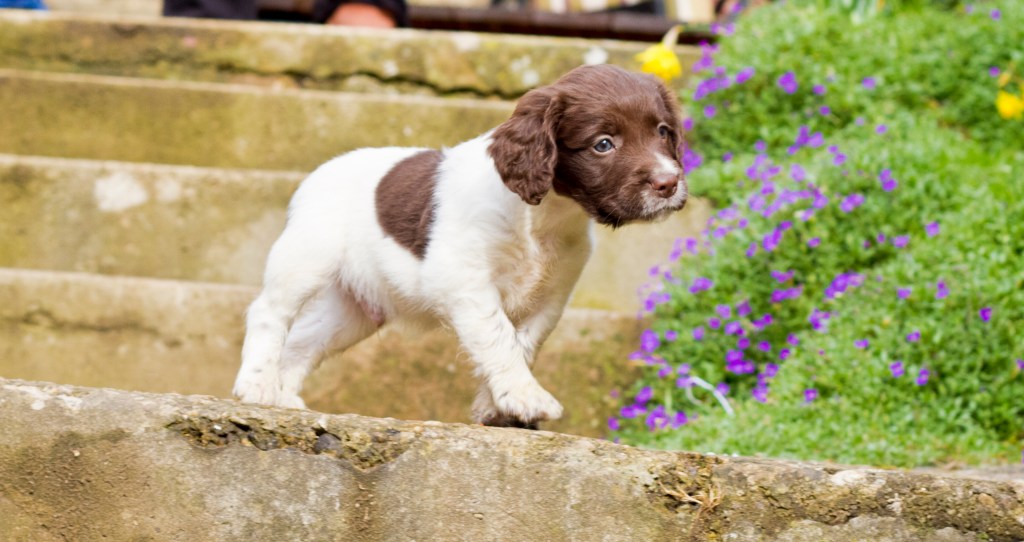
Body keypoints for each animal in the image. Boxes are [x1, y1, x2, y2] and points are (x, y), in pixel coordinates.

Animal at [234, 64, 684, 426]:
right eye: (603, 144)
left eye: (663, 132)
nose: (669, 183)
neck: (542, 217)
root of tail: (316, 175)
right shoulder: (464, 282)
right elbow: (499, 338)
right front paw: (525, 397)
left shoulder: (551, 296)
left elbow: (522, 344)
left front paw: (498, 407)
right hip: (304, 260)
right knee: (268, 312)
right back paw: (256, 387)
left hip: (352, 310)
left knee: (301, 344)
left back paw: (282, 397)